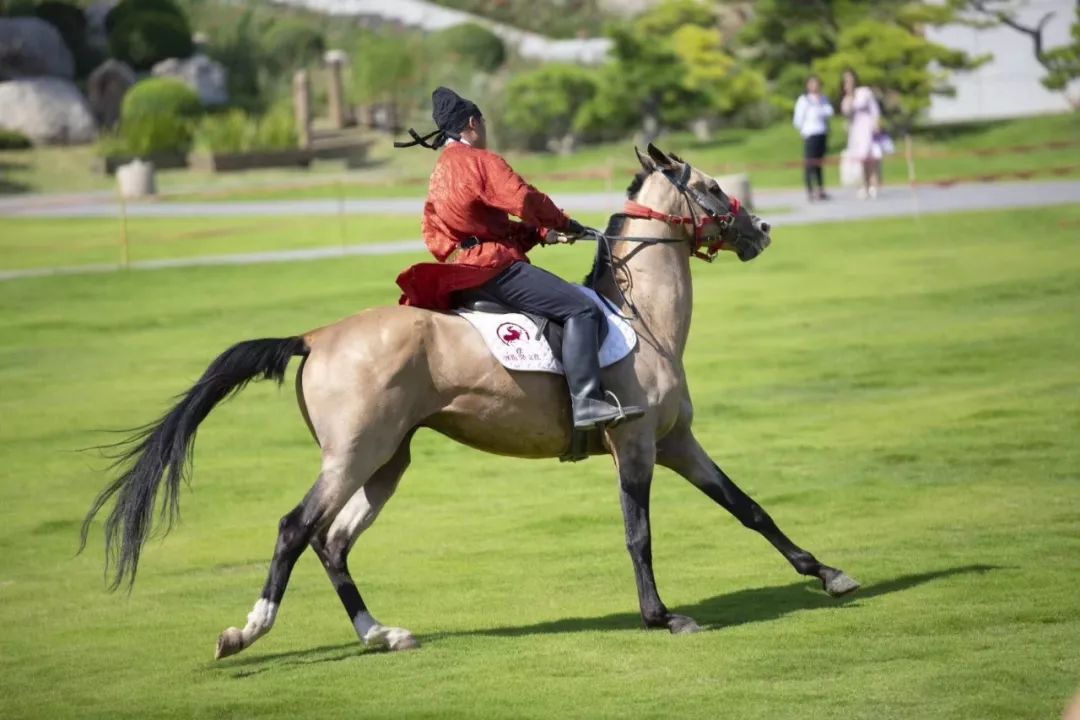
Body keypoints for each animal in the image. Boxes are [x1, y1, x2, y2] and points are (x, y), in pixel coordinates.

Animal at [79, 143, 859, 660]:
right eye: (713, 186)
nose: (762, 230)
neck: (644, 320)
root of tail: (317, 335)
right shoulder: (636, 446)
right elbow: (638, 533)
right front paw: (662, 617)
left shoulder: (677, 443)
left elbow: (748, 507)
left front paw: (828, 574)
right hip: (353, 453)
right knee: (296, 528)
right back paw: (250, 629)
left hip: (386, 460)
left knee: (333, 540)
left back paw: (380, 632)